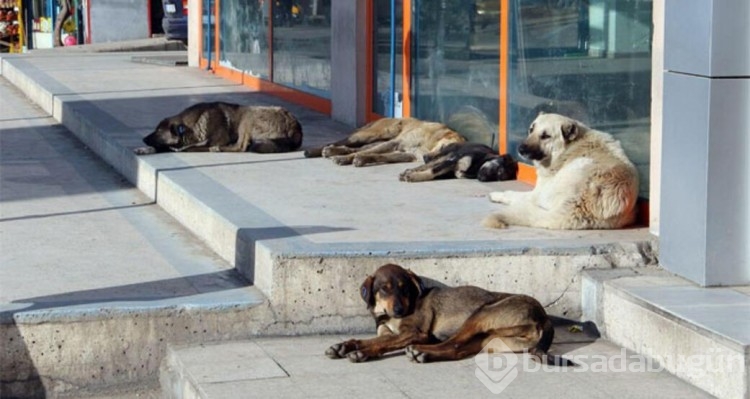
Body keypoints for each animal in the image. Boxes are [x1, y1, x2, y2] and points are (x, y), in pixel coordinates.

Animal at [135, 101, 302, 155]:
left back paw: (219, 149)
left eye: (158, 131)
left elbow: (190, 148)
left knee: (241, 147)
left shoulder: (214, 140)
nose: (143, 139)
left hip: (247, 118)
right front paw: (144, 149)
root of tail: (294, 124)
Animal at [302, 117, 468, 167]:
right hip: (370, 135)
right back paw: (317, 150)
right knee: (338, 142)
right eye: (444, 147)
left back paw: (336, 151)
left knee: (357, 148)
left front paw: (362, 159)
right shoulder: (397, 143)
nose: (426, 159)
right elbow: (367, 152)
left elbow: (378, 155)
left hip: (376, 140)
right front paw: (346, 159)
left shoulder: (407, 154)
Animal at [484, 112, 636, 231]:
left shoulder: (537, 192)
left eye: (546, 136)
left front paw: (497, 194)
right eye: (531, 129)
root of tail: (579, 204)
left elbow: (512, 194)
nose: (520, 149)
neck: (569, 148)